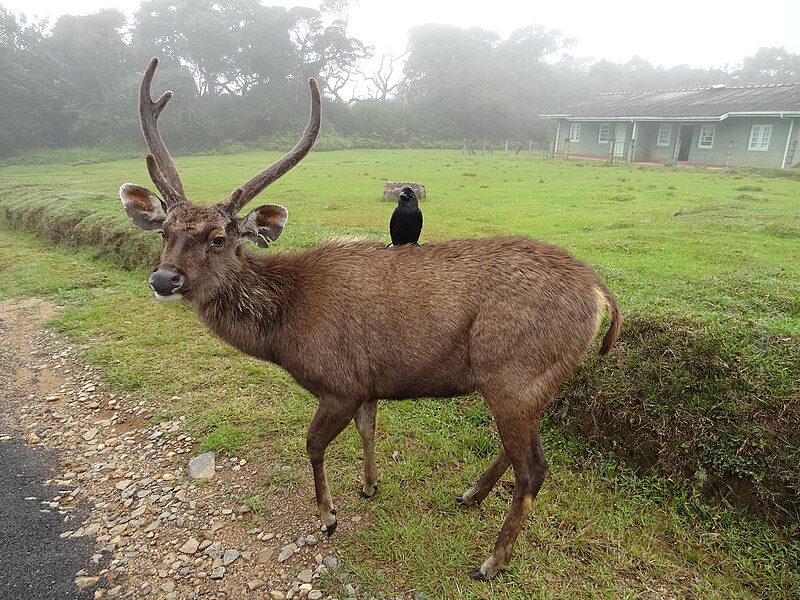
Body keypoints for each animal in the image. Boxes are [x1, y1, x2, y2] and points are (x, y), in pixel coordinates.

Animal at [119, 58, 620, 580]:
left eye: (218, 238)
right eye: (165, 232)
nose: (164, 278)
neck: (286, 328)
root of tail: (600, 293)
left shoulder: (339, 380)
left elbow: (312, 444)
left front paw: (328, 516)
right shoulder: (368, 382)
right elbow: (369, 428)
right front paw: (369, 485)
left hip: (517, 372)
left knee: (535, 468)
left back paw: (492, 561)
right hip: (529, 382)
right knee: (518, 451)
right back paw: (469, 495)